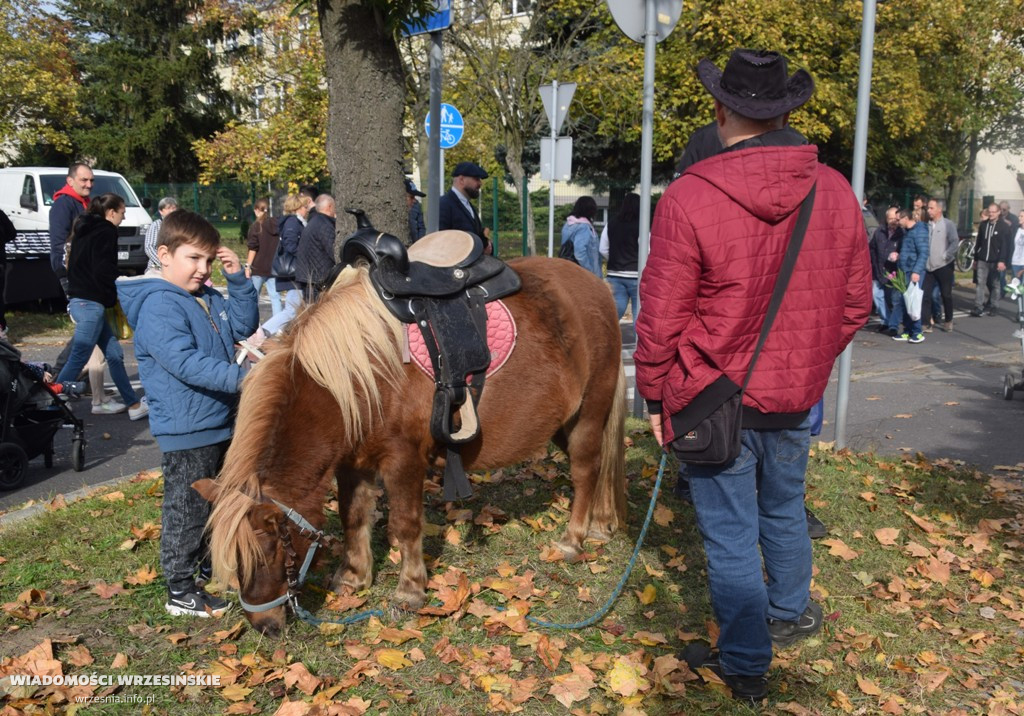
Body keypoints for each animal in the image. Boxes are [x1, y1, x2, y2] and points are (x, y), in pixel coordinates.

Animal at [192, 255, 622, 635]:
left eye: (269, 551)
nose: (263, 625)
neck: (357, 378)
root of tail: (597, 285)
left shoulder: (403, 459)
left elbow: (405, 523)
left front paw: (410, 589)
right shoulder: (353, 463)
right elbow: (353, 516)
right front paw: (353, 577)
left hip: (588, 414)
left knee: (586, 471)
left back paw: (573, 539)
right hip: (563, 424)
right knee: (602, 467)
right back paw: (601, 525)